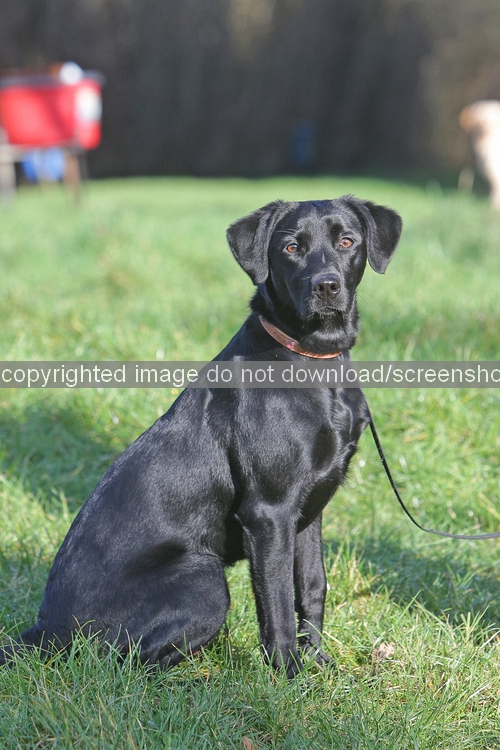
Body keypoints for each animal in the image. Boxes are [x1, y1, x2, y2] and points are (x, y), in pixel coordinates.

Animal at [0, 197, 402, 677]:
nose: (326, 286)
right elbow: (278, 603)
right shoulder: (269, 513)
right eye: (291, 247)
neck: (314, 361)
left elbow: (311, 586)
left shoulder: (309, 511)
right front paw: (288, 674)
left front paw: (317, 661)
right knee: (127, 662)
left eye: (347, 242)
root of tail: (44, 631)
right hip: (204, 579)